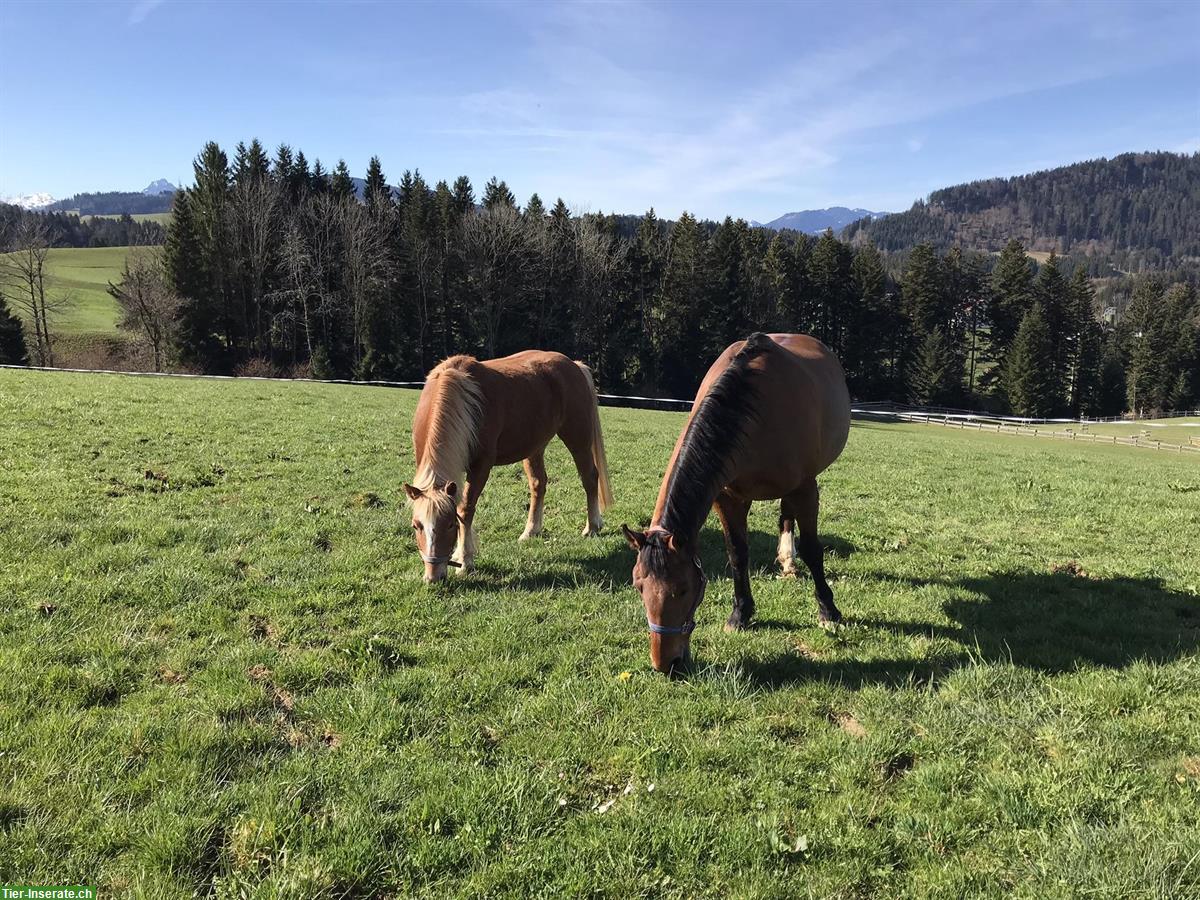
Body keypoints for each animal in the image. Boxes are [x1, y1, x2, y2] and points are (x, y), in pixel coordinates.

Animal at [405, 352, 614, 585]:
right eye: (416, 525)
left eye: (450, 525)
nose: (433, 577)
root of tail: (574, 365)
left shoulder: (481, 466)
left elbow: (466, 509)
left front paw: (465, 561)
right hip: (535, 446)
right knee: (538, 484)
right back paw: (531, 531)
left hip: (578, 438)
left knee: (589, 477)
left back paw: (592, 527)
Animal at [624, 336, 849, 672]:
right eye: (639, 586)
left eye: (683, 589)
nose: (666, 664)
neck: (750, 407)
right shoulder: (727, 497)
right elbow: (737, 554)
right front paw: (740, 614)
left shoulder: (805, 487)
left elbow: (812, 550)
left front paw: (828, 611)